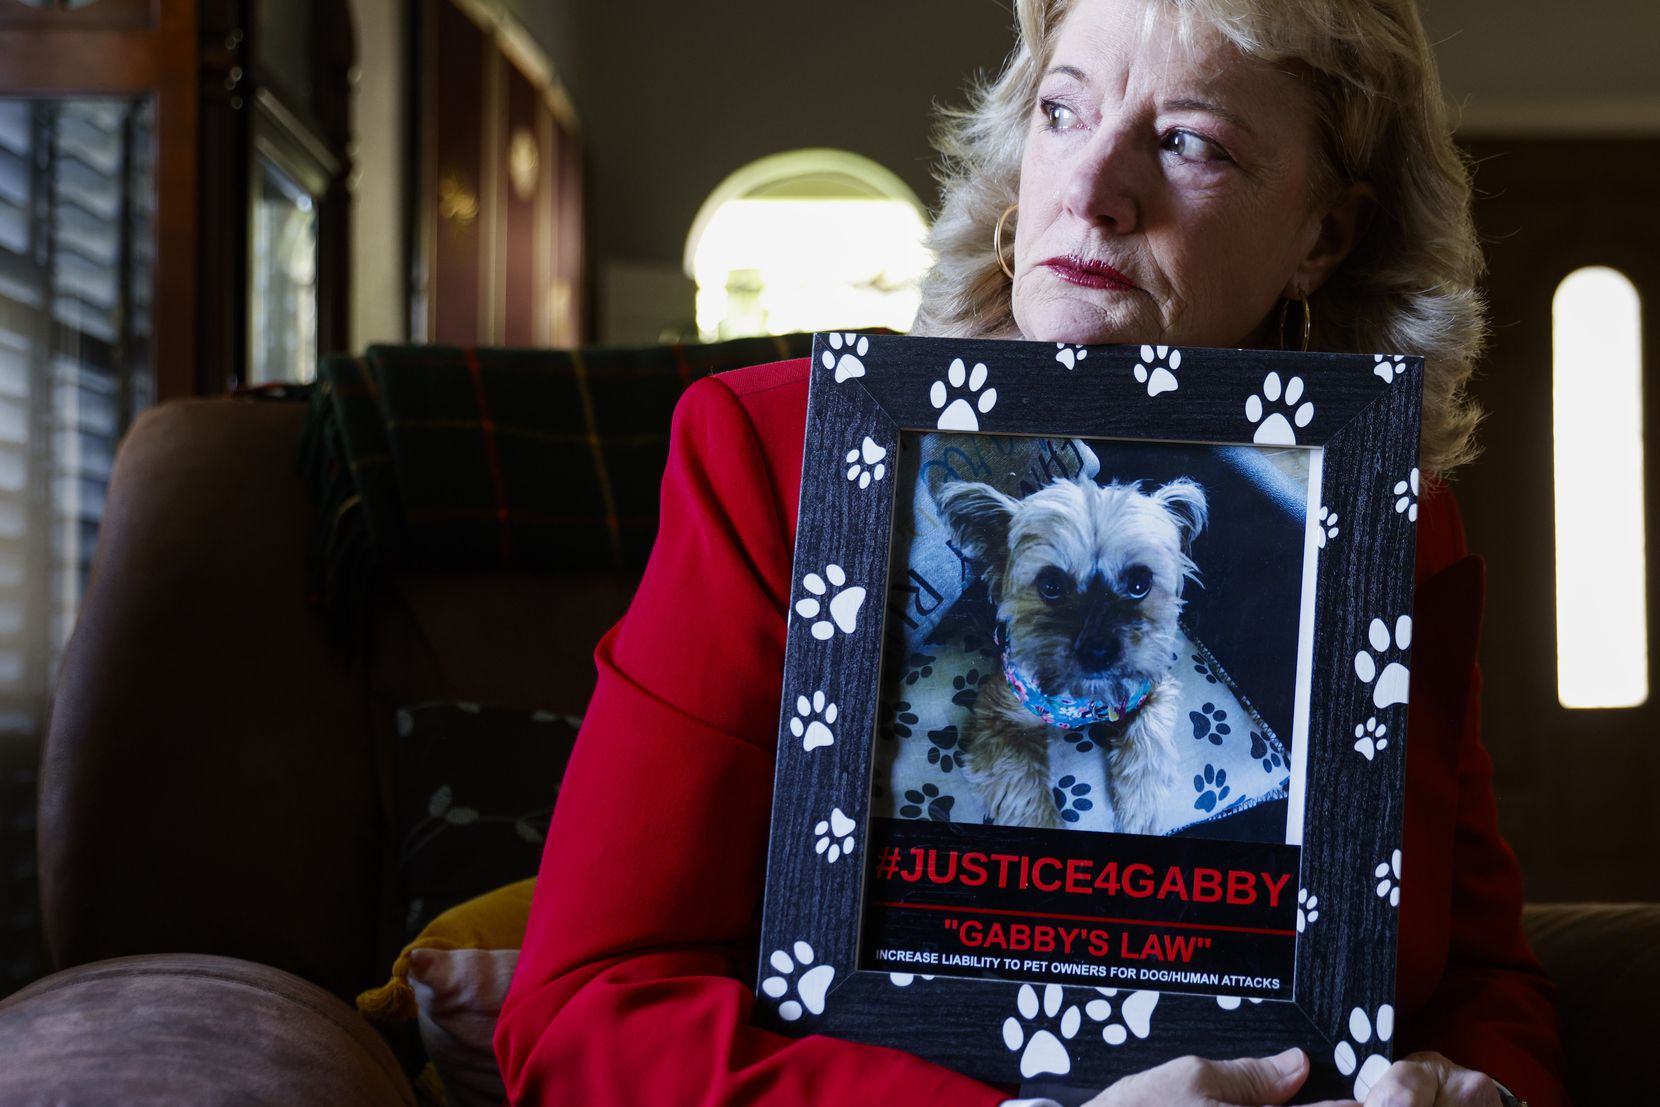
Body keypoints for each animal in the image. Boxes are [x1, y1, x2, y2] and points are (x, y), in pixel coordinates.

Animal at [936, 474, 1208, 829]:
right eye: (1050, 586)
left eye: (1140, 584)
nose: (1097, 652)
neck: (1084, 701)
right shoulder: (997, 718)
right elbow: (1023, 791)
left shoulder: (1154, 685)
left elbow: (1149, 734)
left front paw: (1140, 810)